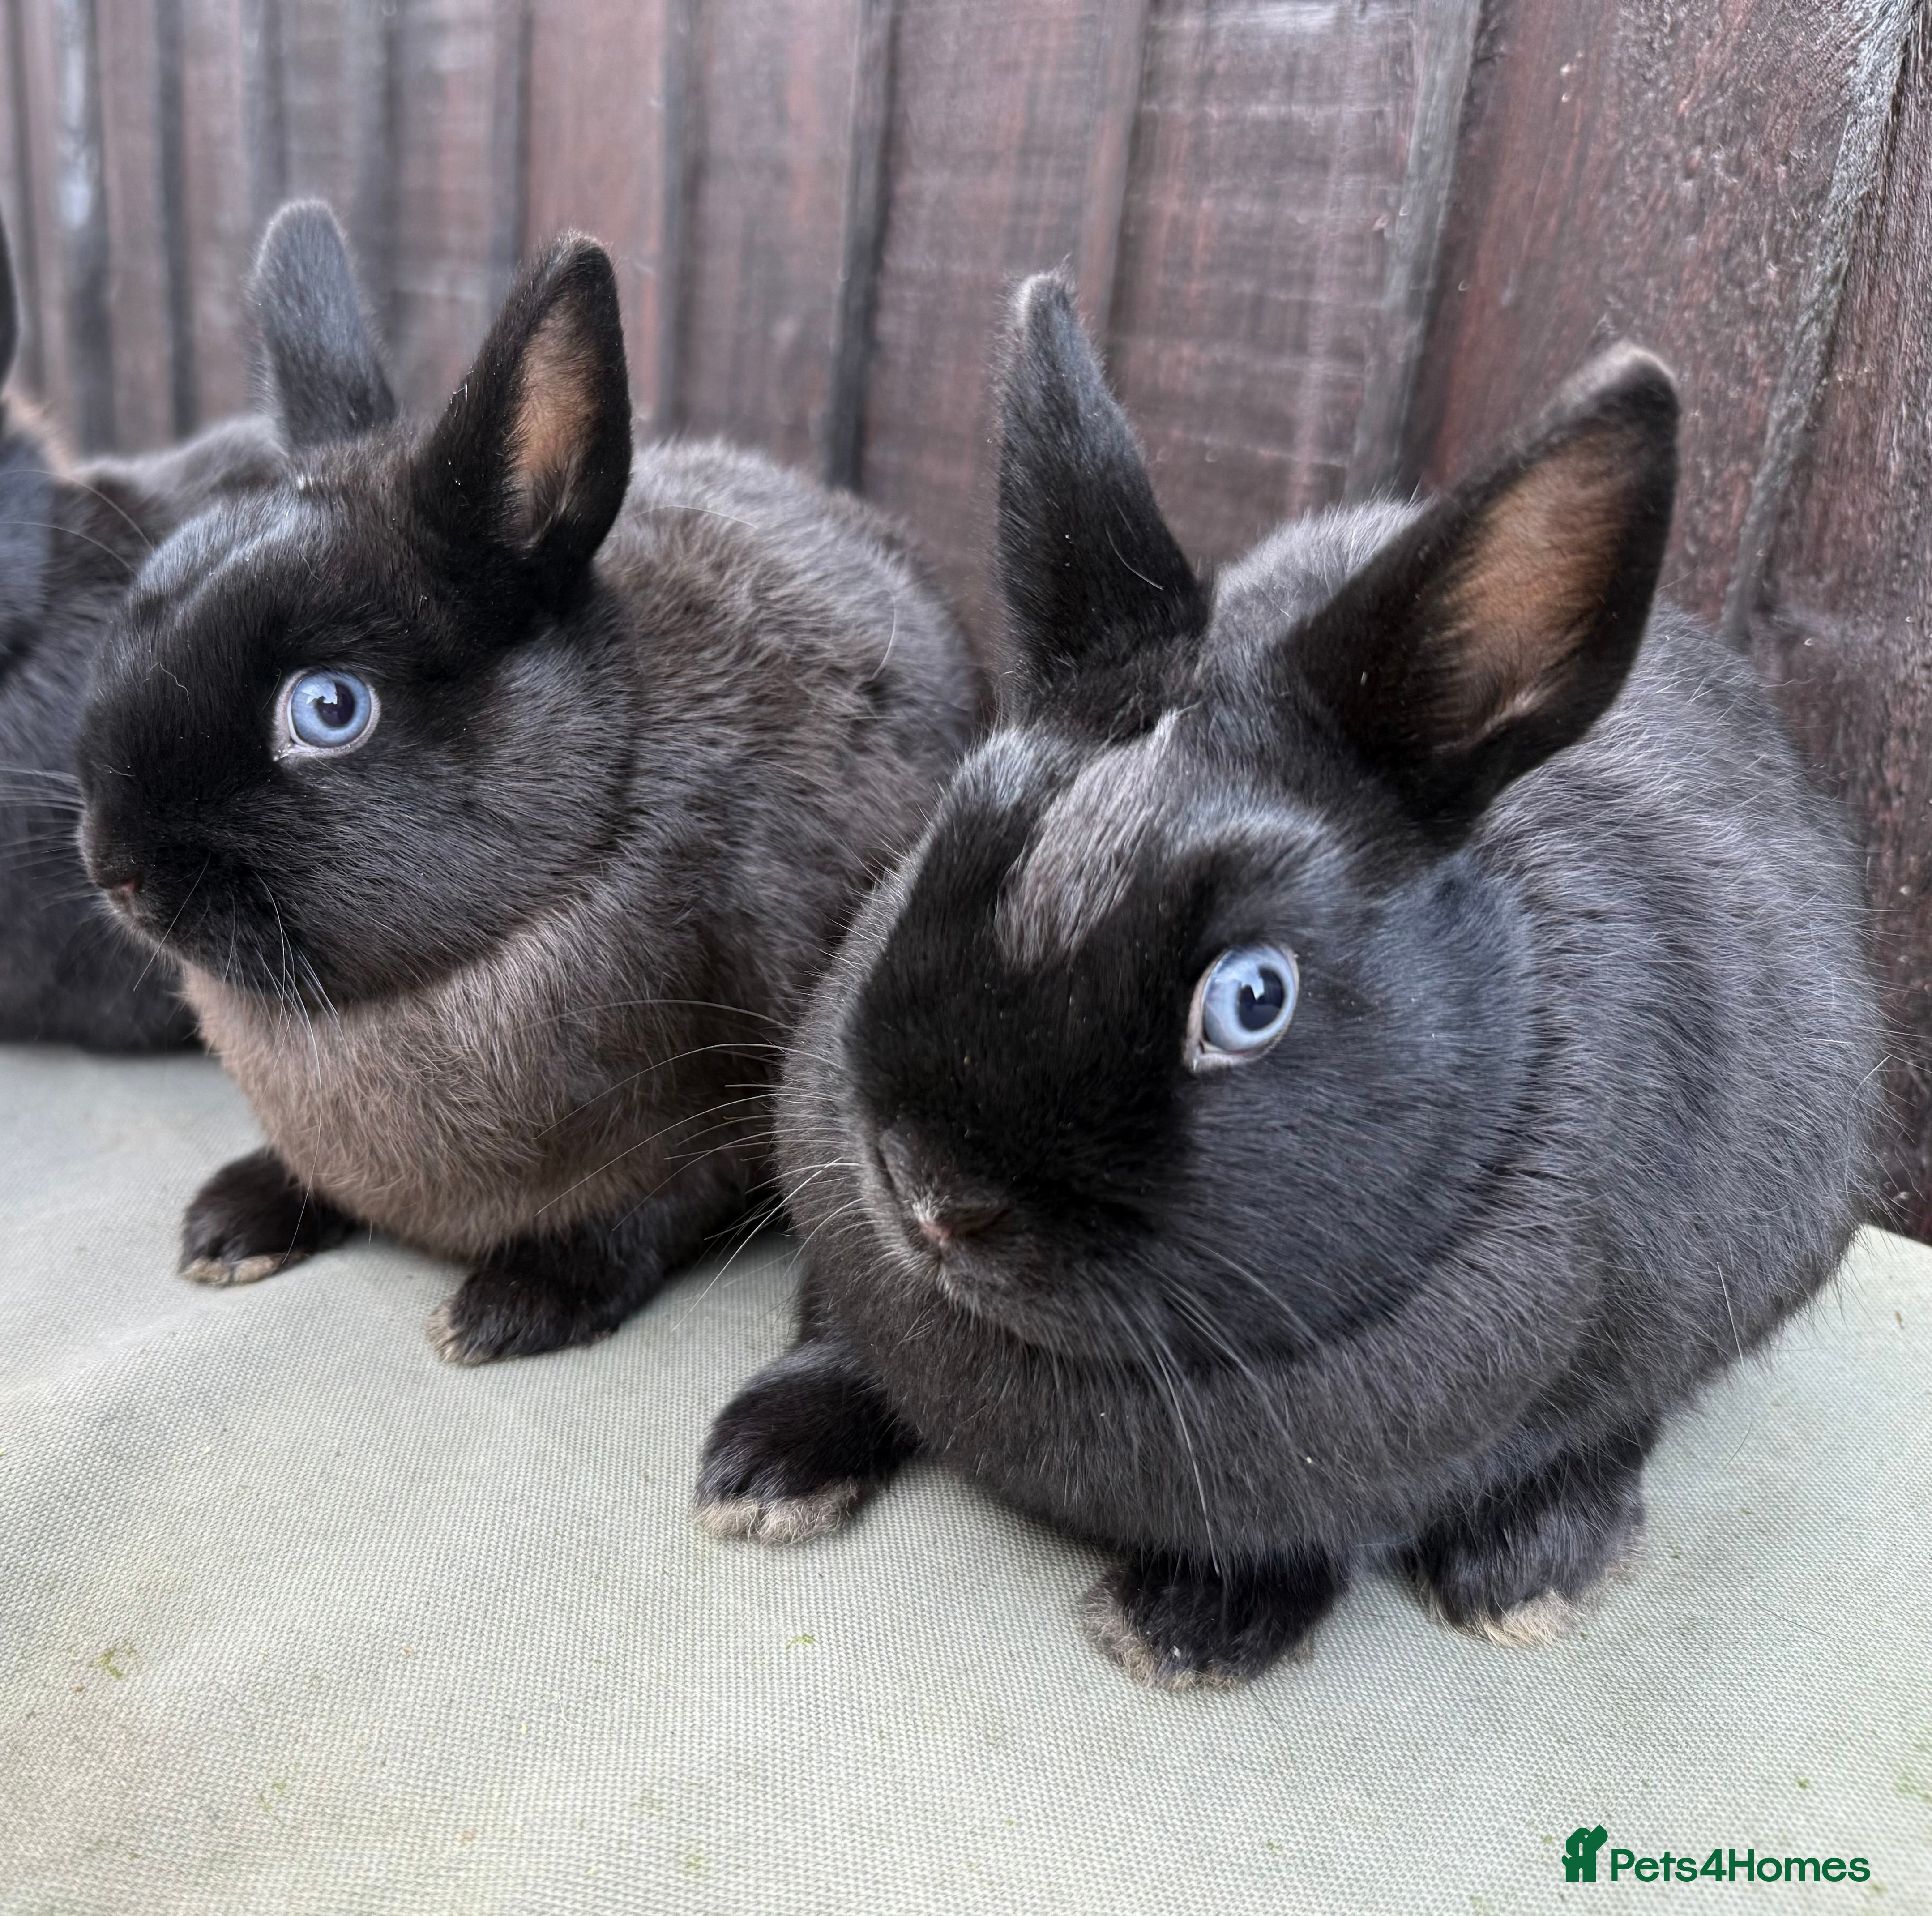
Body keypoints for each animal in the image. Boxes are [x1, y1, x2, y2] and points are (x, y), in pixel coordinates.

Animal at [75, 201, 984, 1365]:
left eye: (329, 708)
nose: (116, 867)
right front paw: (234, 1224)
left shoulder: (710, 1123)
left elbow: (648, 1213)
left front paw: (510, 1307)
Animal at [694, 273, 1880, 1690]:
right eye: (944, 840)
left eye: (1251, 998)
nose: (932, 1194)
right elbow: (831, 1340)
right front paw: (757, 1473)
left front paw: (1184, 1629)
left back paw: (1526, 1569)